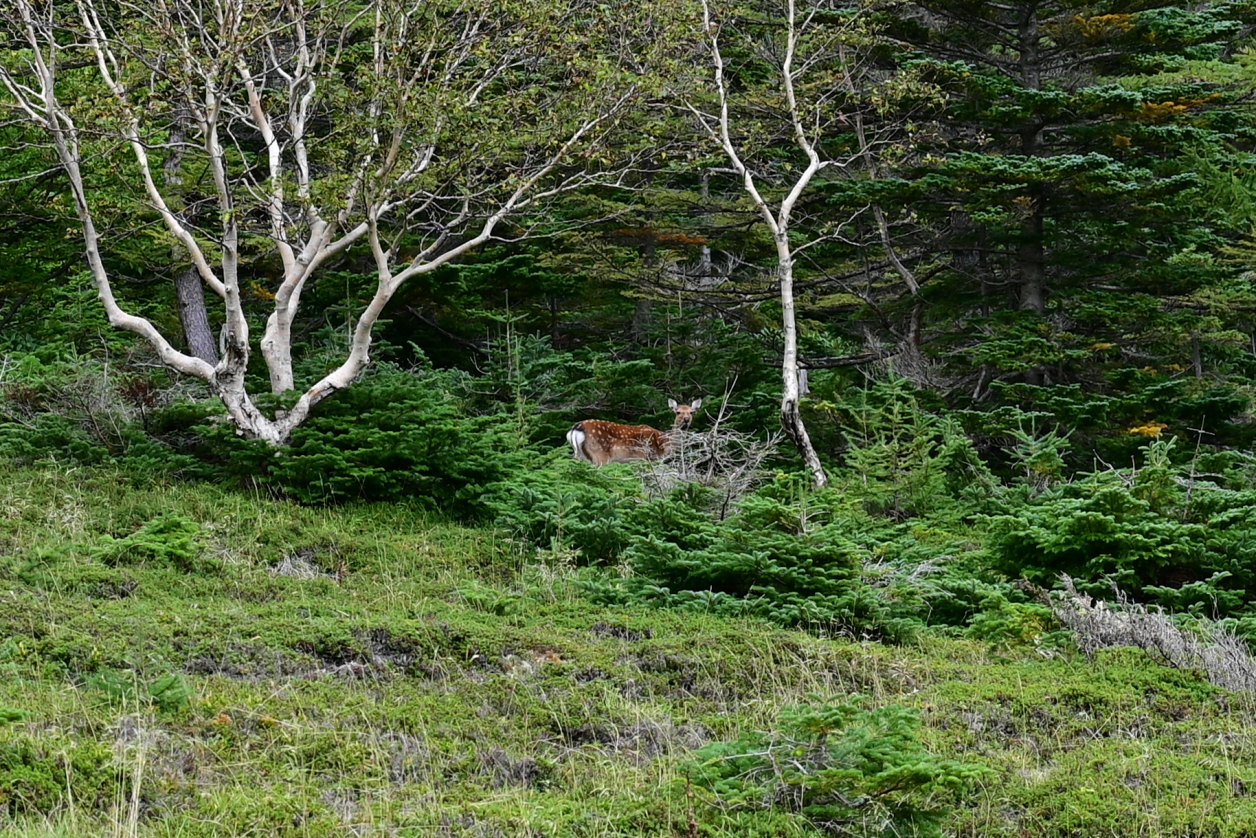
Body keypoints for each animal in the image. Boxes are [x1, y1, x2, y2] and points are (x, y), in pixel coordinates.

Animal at [567, 399, 703, 464]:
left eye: (692, 412)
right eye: (678, 412)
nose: (686, 420)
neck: (664, 444)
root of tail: (576, 428)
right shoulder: (650, 458)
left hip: (580, 455)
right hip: (598, 454)